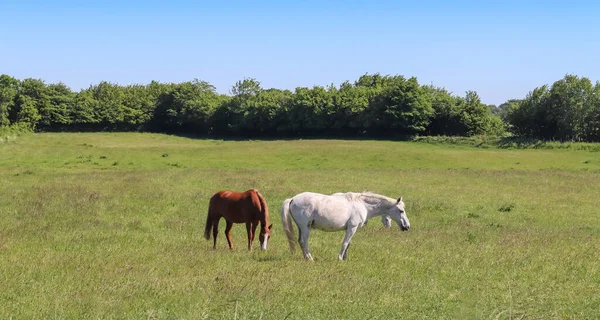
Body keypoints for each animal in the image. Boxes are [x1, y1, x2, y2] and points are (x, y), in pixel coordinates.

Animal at [280, 190, 410, 260]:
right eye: (401, 211)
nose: (407, 226)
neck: (362, 204)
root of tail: (292, 199)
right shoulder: (352, 227)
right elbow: (345, 243)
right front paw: (340, 258)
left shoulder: (351, 229)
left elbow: (348, 244)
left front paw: (345, 257)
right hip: (305, 228)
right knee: (304, 241)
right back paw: (310, 258)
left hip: (301, 228)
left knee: (300, 241)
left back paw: (306, 258)